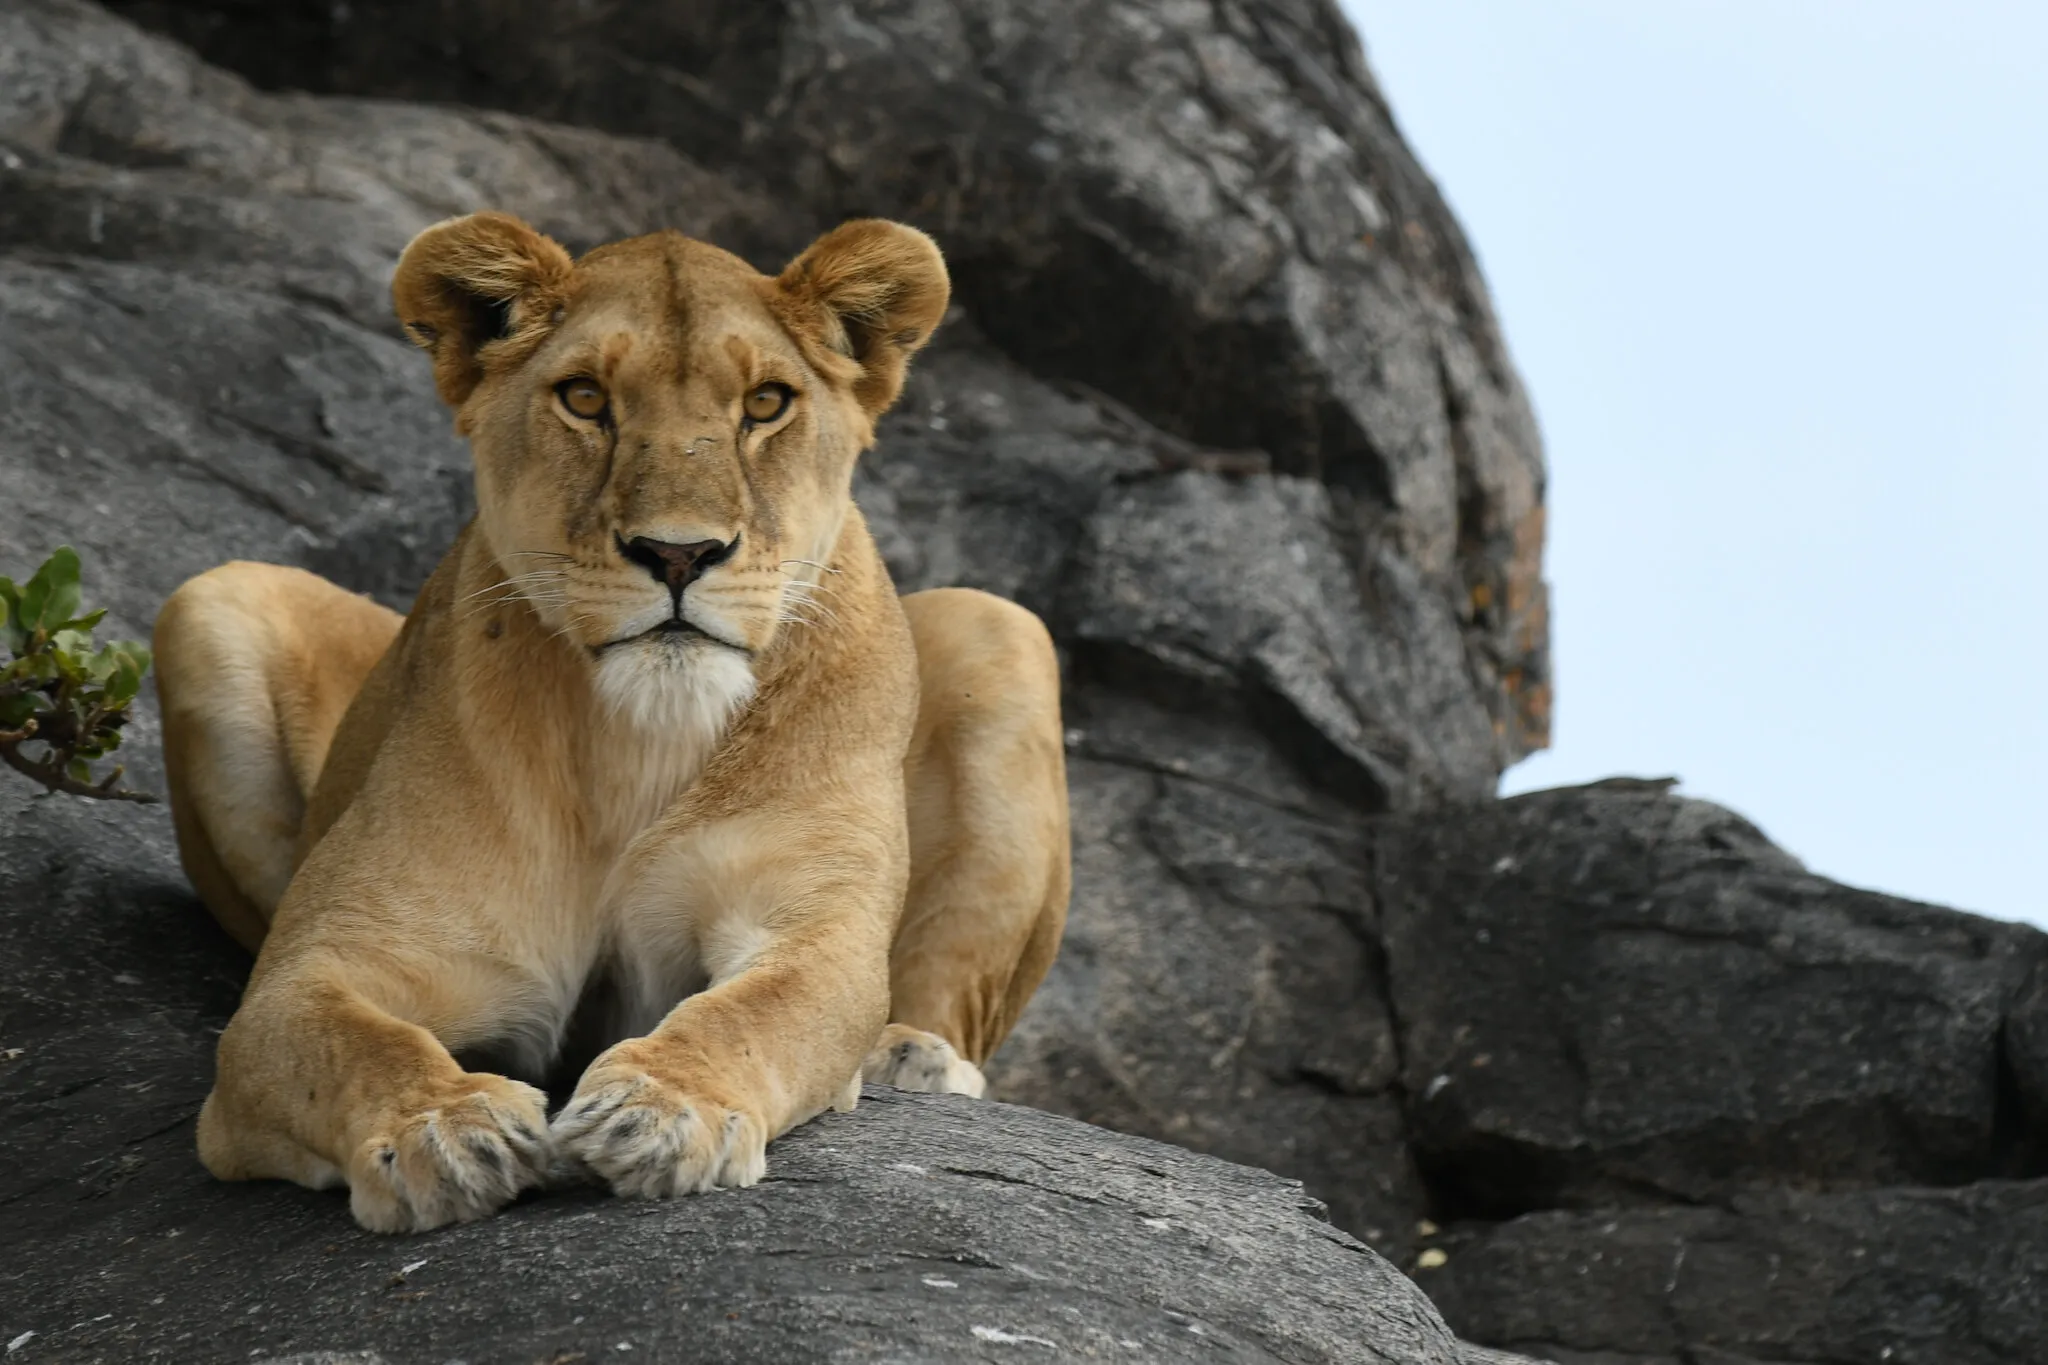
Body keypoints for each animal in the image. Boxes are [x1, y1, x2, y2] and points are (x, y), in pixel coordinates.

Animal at [150, 212, 1071, 1233]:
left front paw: (663, 1110)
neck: (638, 740)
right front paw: (443, 1129)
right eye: (586, 398)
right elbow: (347, 1037)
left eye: (766, 402)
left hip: (1001, 629)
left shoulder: (811, 924)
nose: (679, 553)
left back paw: (909, 1054)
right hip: (212, 600)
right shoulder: (318, 967)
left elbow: (755, 1011)